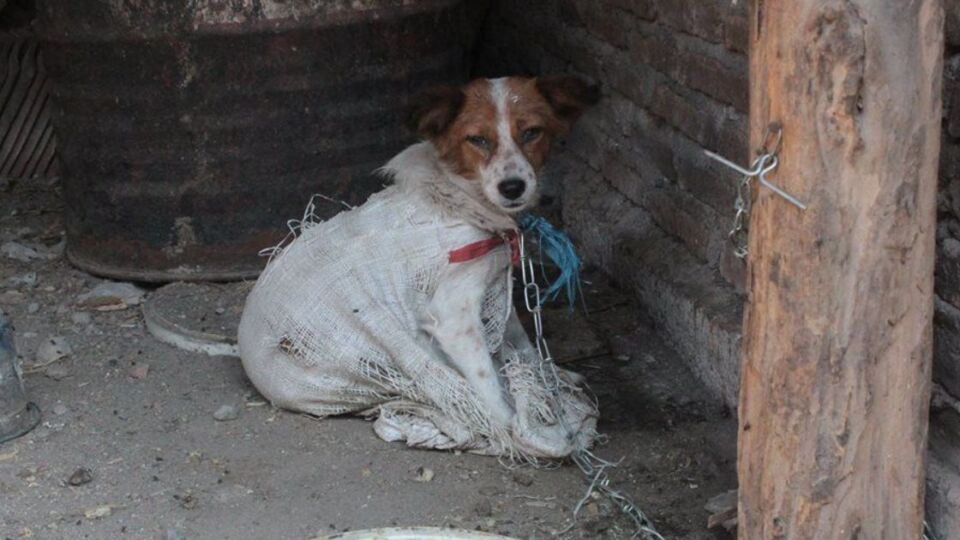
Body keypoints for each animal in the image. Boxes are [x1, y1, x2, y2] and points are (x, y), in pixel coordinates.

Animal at [238, 76, 600, 456]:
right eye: (478, 139)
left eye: (531, 132)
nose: (512, 187)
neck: (460, 202)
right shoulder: (454, 317)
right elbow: (488, 384)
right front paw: (512, 431)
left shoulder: (497, 289)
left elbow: (524, 344)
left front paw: (551, 380)